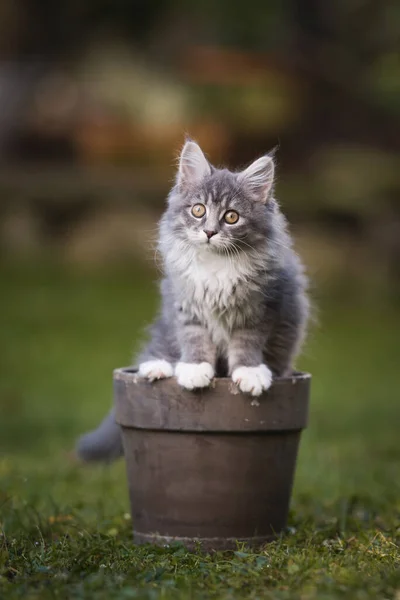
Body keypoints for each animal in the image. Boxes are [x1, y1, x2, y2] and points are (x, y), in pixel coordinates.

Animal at [78, 139, 310, 460]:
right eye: (198, 210)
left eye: (231, 216)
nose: (209, 232)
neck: (217, 265)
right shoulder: (185, 304)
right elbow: (194, 338)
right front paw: (195, 368)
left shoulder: (261, 308)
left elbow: (246, 343)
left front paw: (249, 372)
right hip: (166, 323)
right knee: (159, 348)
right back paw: (157, 367)